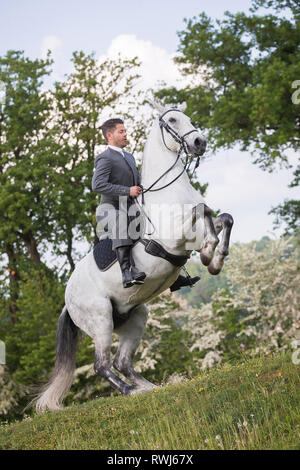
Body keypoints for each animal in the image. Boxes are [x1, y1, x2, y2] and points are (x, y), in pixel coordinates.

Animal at [35, 102, 234, 412]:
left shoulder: (196, 231)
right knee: (102, 365)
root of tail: (68, 301)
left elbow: (223, 217)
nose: (199, 143)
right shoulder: (175, 236)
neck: (170, 192)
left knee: (122, 362)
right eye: (172, 120)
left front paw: (215, 258)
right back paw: (130, 392)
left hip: (135, 316)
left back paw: (151, 388)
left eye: (188, 118)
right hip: (101, 319)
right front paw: (209, 252)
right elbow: (202, 211)